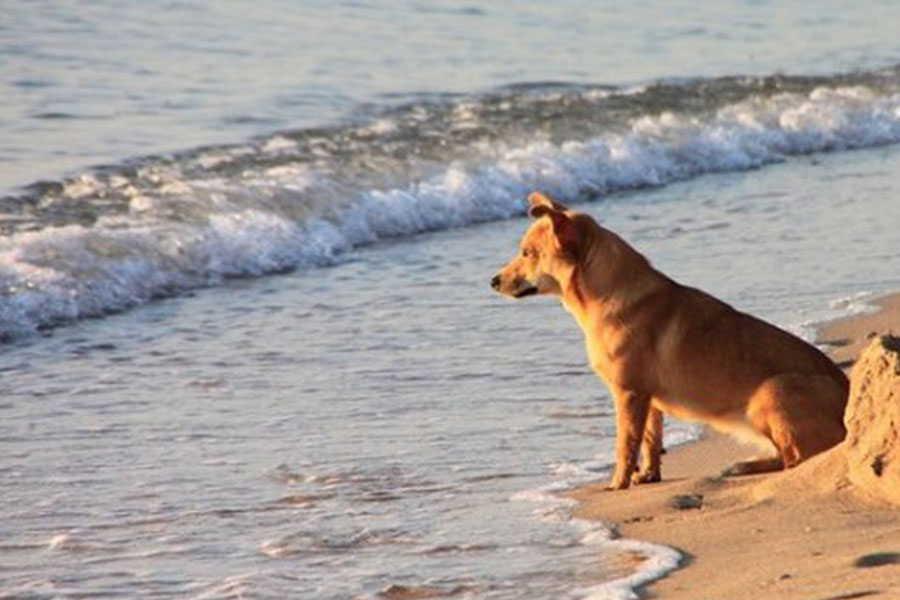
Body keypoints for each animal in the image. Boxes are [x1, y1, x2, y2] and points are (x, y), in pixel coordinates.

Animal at [492, 192, 852, 488]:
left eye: (527, 253)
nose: (492, 281)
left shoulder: (629, 395)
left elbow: (625, 445)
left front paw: (618, 483)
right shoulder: (648, 399)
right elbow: (650, 441)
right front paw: (649, 475)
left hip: (771, 393)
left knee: (798, 460)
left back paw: (746, 467)